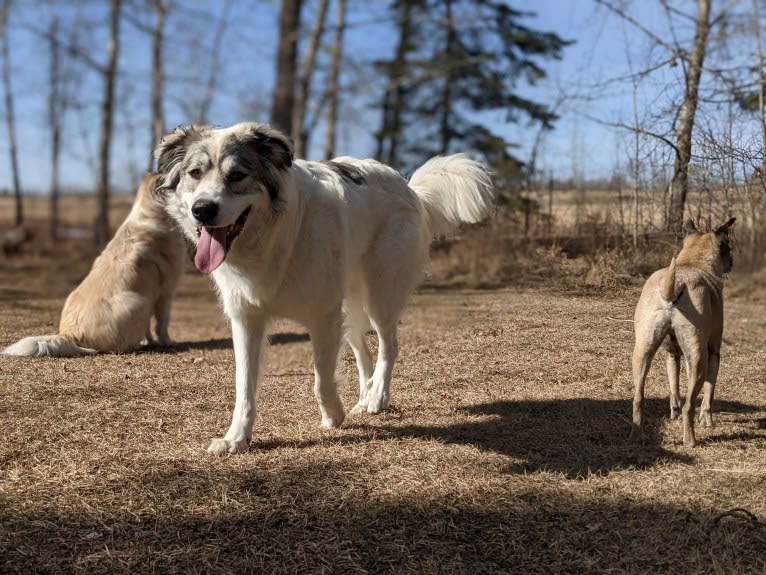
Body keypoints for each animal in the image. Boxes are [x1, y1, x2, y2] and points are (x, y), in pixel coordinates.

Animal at [2, 173, 186, 358]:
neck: (151, 214)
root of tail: (68, 335)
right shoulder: (166, 293)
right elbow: (162, 323)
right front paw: (167, 342)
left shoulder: (153, 293)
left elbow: (150, 327)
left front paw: (150, 341)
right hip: (139, 302)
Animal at [154, 121, 498, 454]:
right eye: (195, 173)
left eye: (237, 175)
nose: (202, 209)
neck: (273, 238)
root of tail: (408, 187)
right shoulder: (247, 319)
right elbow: (244, 385)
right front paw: (236, 438)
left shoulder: (323, 318)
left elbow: (321, 378)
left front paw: (333, 415)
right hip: (349, 310)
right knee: (363, 351)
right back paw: (365, 396)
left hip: (380, 296)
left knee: (389, 345)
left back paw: (377, 396)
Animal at [632, 216, 736, 446]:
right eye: (728, 246)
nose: (732, 263)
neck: (691, 261)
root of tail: (677, 282)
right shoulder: (714, 353)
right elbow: (709, 393)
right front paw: (707, 420)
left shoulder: (672, 353)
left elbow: (674, 387)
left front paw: (674, 413)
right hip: (698, 356)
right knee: (690, 404)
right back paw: (690, 439)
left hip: (643, 350)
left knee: (638, 397)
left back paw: (638, 433)